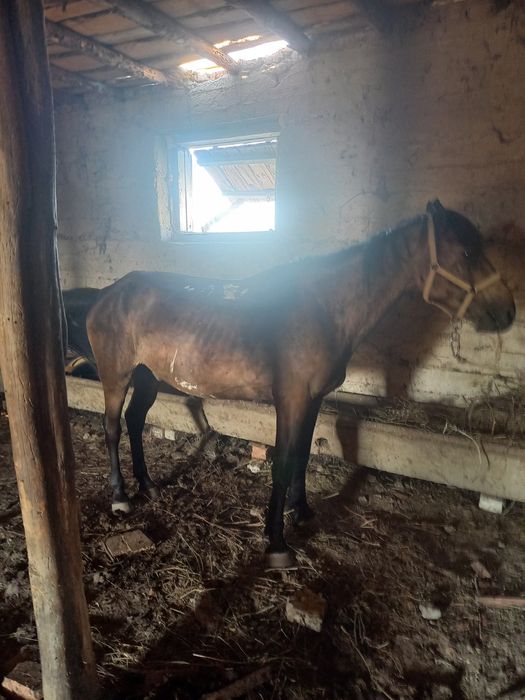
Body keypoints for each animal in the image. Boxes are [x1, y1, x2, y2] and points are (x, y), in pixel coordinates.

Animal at [86, 200, 515, 568]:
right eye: (466, 253)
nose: (507, 312)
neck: (322, 309)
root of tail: (107, 295)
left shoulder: (312, 400)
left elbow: (304, 457)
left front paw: (303, 512)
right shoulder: (290, 400)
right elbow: (283, 462)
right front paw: (276, 542)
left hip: (148, 377)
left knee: (135, 422)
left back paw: (148, 485)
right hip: (116, 376)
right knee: (112, 427)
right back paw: (121, 496)